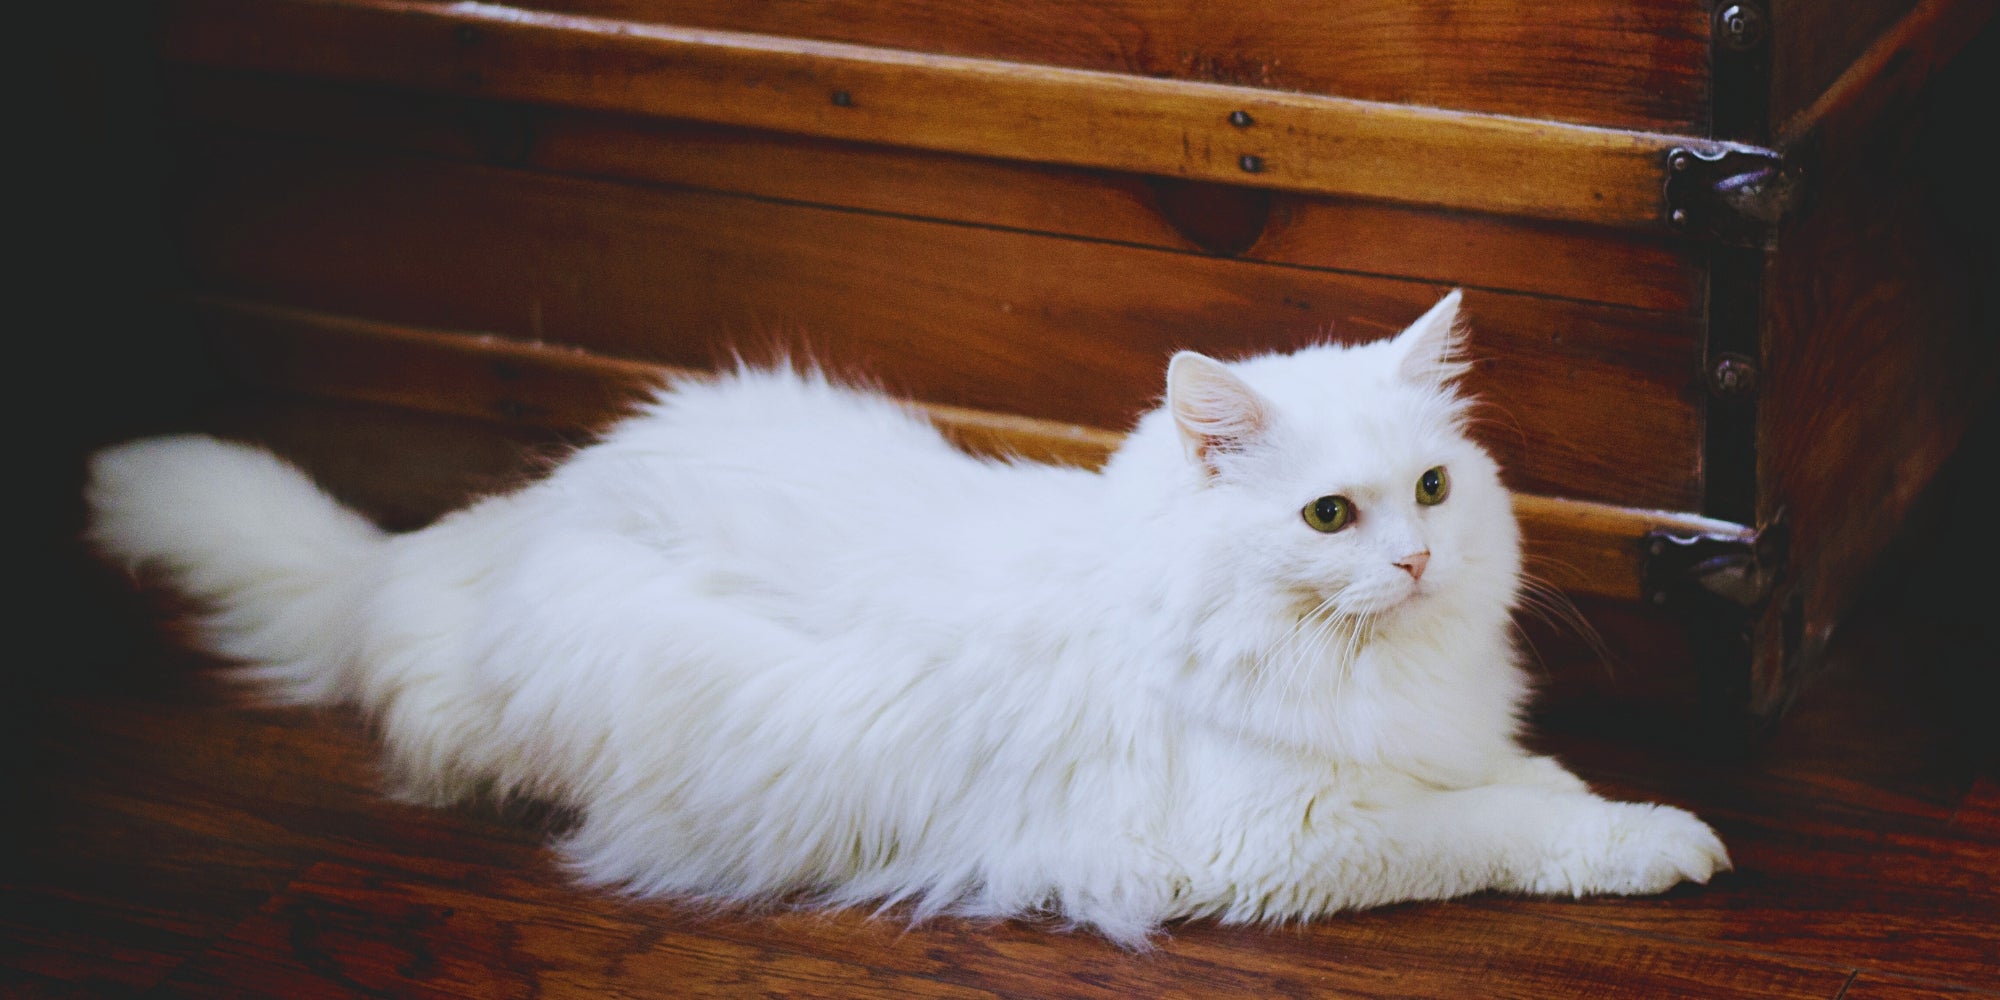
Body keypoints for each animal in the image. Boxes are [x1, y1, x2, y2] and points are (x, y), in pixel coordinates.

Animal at [86, 292, 1728, 944]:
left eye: (1436, 488)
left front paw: (1618, 809)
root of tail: (481, 536)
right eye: (1331, 518)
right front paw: (1664, 843)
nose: (1418, 563)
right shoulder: (1278, 838)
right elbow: (1495, 830)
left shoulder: (1430, 750)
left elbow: (1525, 782)